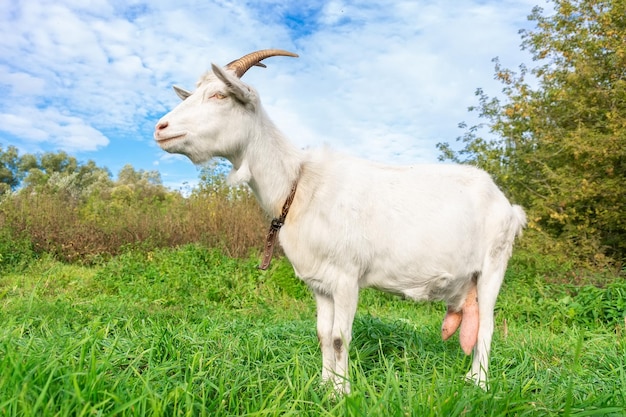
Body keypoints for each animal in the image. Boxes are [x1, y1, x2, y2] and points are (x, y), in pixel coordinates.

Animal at [154, 50, 524, 392]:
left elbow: (338, 337)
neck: (299, 185)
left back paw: (479, 385)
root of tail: (509, 206)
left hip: (493, 266)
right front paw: (322, 386)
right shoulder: (319, 283)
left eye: (220, 95)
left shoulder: (347, 277)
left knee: (488, 325)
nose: (160, 128)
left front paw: (341, 392)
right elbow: (322, 334)